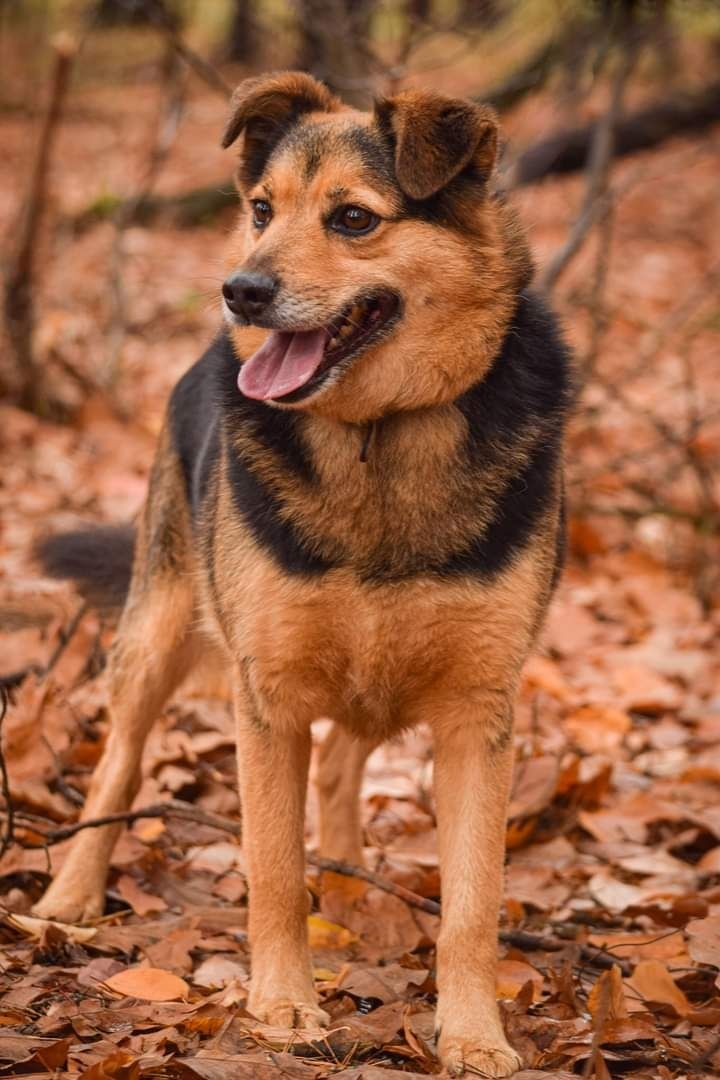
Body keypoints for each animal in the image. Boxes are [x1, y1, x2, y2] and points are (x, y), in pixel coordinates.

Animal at [35, 71, 574, 1075]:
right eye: (260, 210)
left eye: (353, 218)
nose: (239, 292)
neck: (381, 434)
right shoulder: (269, 696)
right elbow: (274, 870)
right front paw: (283, 1005)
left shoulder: (477, 712)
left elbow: (473, 904)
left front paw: (473, 1034)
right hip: (156, 633)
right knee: (118, 765)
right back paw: (70, 897)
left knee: (339, 771)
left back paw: (354, 887)